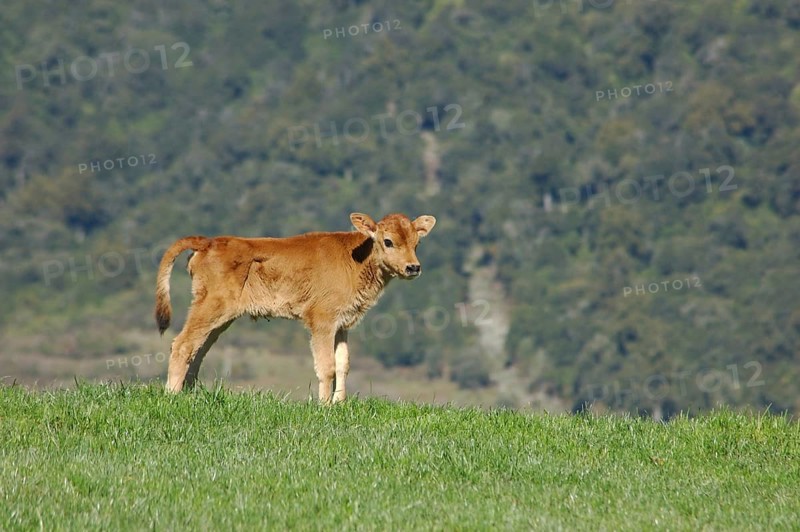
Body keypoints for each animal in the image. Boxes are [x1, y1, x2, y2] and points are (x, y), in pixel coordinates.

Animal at [154, 212, 436, 403]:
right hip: (210, 307)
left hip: (220, 318)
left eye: (417, 243)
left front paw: (340, 403)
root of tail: (208, 241)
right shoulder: (322, 321)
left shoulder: (342, 324)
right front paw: (325, 406)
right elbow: (326, 366)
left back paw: (188, 393)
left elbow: (343, 363)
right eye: (388, 241)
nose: (413, 267)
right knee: (183, 344)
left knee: (199, 349)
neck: (357, 258)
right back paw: (172, 395)